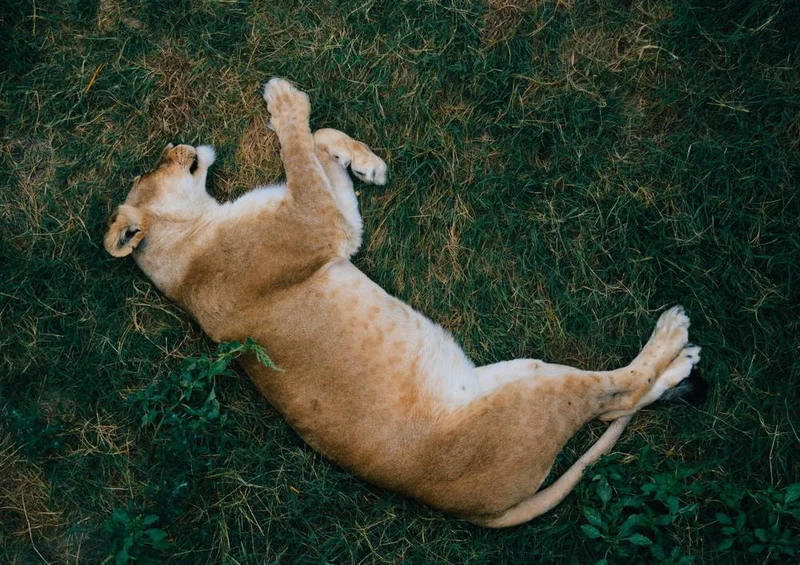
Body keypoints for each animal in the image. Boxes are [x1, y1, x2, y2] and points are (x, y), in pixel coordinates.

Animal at [104, 78, 703, 527]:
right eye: (158, 163)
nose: (180, 145)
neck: (190, 241)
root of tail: (466, 511)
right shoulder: (318, 229)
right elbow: (300, 148)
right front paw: (285, 101)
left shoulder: (338, 227)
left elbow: (317, 147)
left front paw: (364, 162)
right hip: (535, 392)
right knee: (617, 395)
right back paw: (675, 341)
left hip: (514, 373)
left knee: (619, 403)